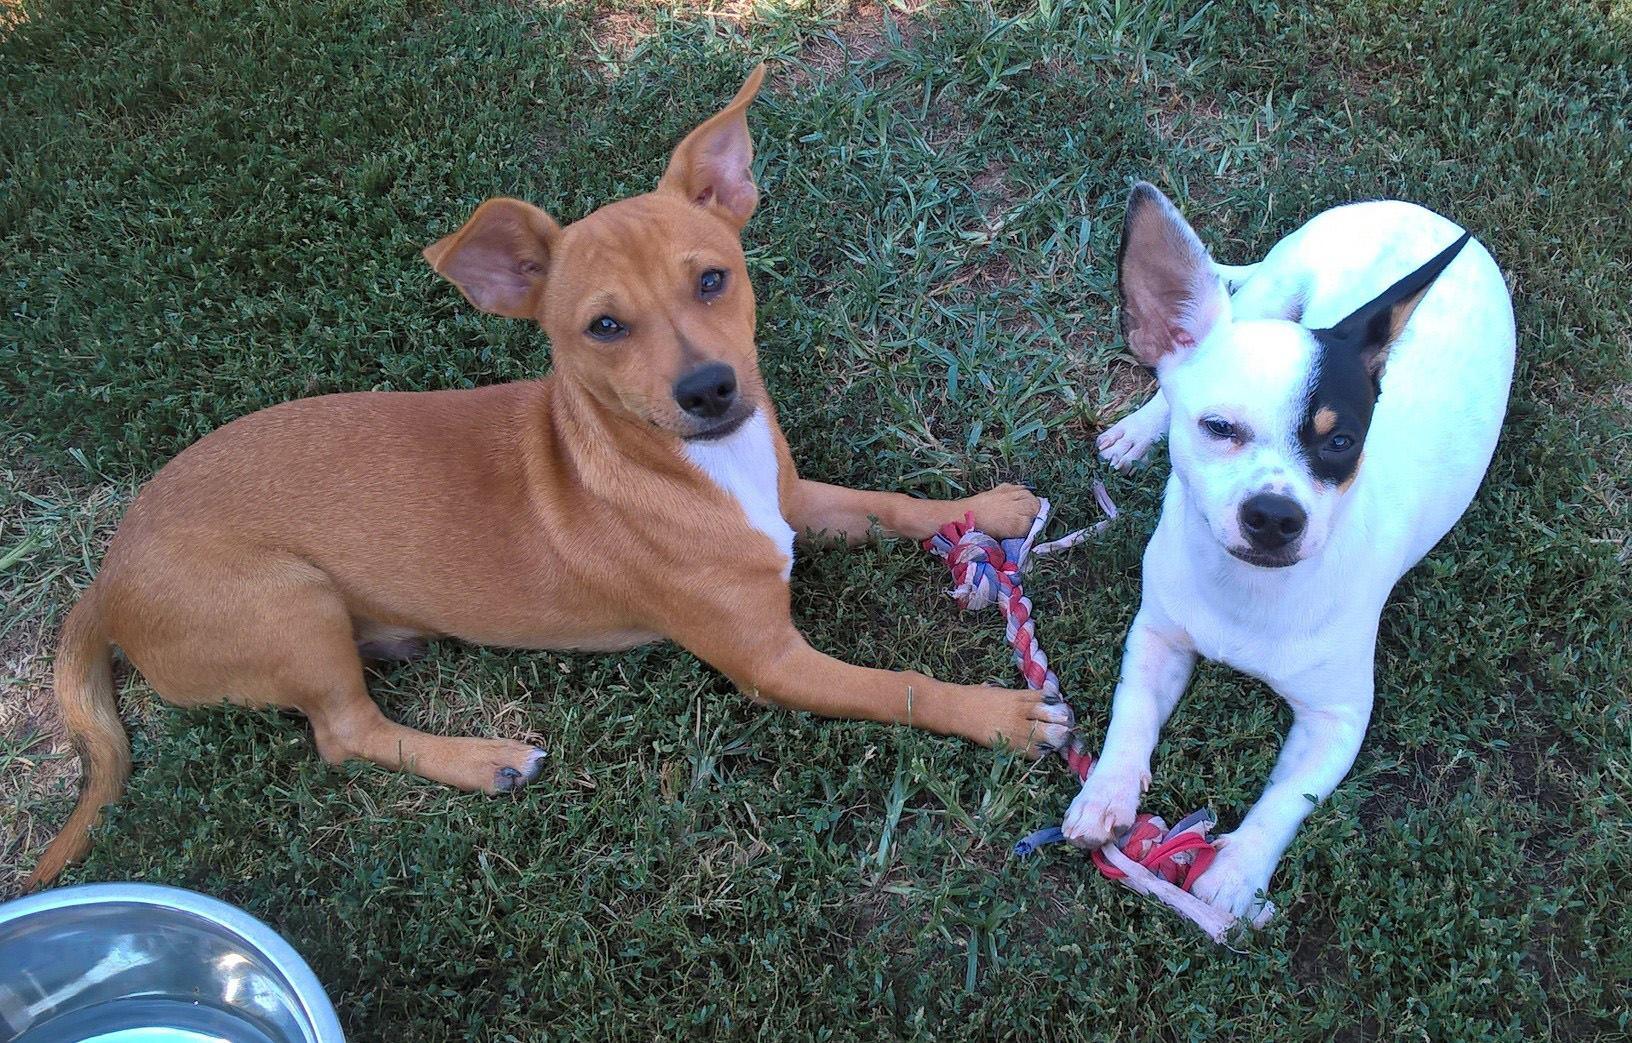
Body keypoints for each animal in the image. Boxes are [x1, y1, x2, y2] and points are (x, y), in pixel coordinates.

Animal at [28, 67, 1070, 887]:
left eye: (713, 277)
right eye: (602, 326)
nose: (709, 389)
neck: (696, 467)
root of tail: (107, 575)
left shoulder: (794, 498)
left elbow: (890, 502)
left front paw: (989, 507)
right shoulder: (772, 663)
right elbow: (902, 686)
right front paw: (1006, 714)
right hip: (292, 604)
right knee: (341, 734)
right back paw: (486, 758)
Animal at [1064, 183, 1507, 920]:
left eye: (1342, 442)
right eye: (1218, 427)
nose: (1275, 513)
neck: (1248, 590)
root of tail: (1417, 211)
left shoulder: (1337, 720)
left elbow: (1286, 801)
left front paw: (1236, 871)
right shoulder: (1156, 636)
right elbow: (1131, 717)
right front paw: (1106, 791)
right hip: (1269, 292)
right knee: (1169, 368)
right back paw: (1136, 430)